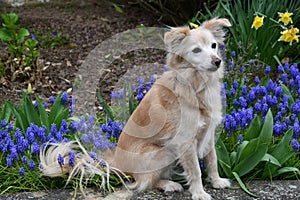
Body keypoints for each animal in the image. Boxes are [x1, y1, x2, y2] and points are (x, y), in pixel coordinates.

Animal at [39, 18, 232, 199]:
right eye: (196, 50)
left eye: (214, 45)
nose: (217, 61)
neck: (197, 84)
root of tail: (118, 162)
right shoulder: (185, 140)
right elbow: (195, 170)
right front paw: (199, 193)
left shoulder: (208, 132)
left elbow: (212, 159)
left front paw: (216, 181)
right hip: (162, 151)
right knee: (143, 182)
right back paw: (168, 184)